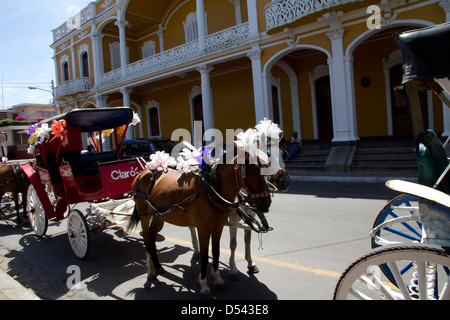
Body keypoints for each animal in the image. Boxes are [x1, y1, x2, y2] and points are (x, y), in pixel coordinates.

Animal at [126, 154, 270, 298]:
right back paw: (150, 271)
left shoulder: (218, 227)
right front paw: (204, 286)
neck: (213, 190)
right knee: (146, 237)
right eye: (249, 171)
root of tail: (144, 172)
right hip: (144, 213)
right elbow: (205, 257)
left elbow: (216, 252)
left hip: (159, 215)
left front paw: (217, 279)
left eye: (265, 167)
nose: (266, 203)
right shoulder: (203, 229)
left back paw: (158, 266)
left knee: (152, 235)